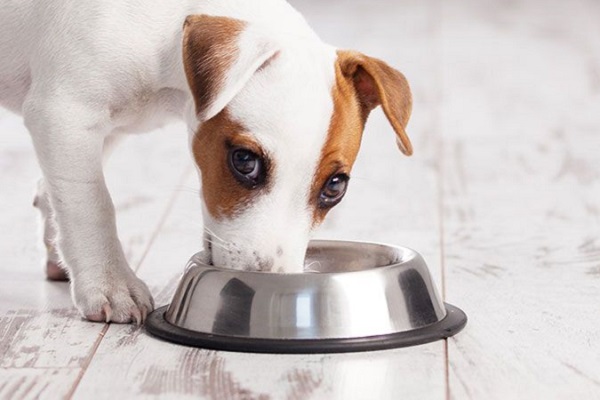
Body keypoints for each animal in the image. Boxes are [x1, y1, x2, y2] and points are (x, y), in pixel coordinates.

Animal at [0, 0, 410, 324]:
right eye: (244, 161)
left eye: (335, 187)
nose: (271, 280)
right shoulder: (65, 114)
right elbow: (91, 204)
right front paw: (111, 283)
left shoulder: (101, 130)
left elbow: (57, 192)